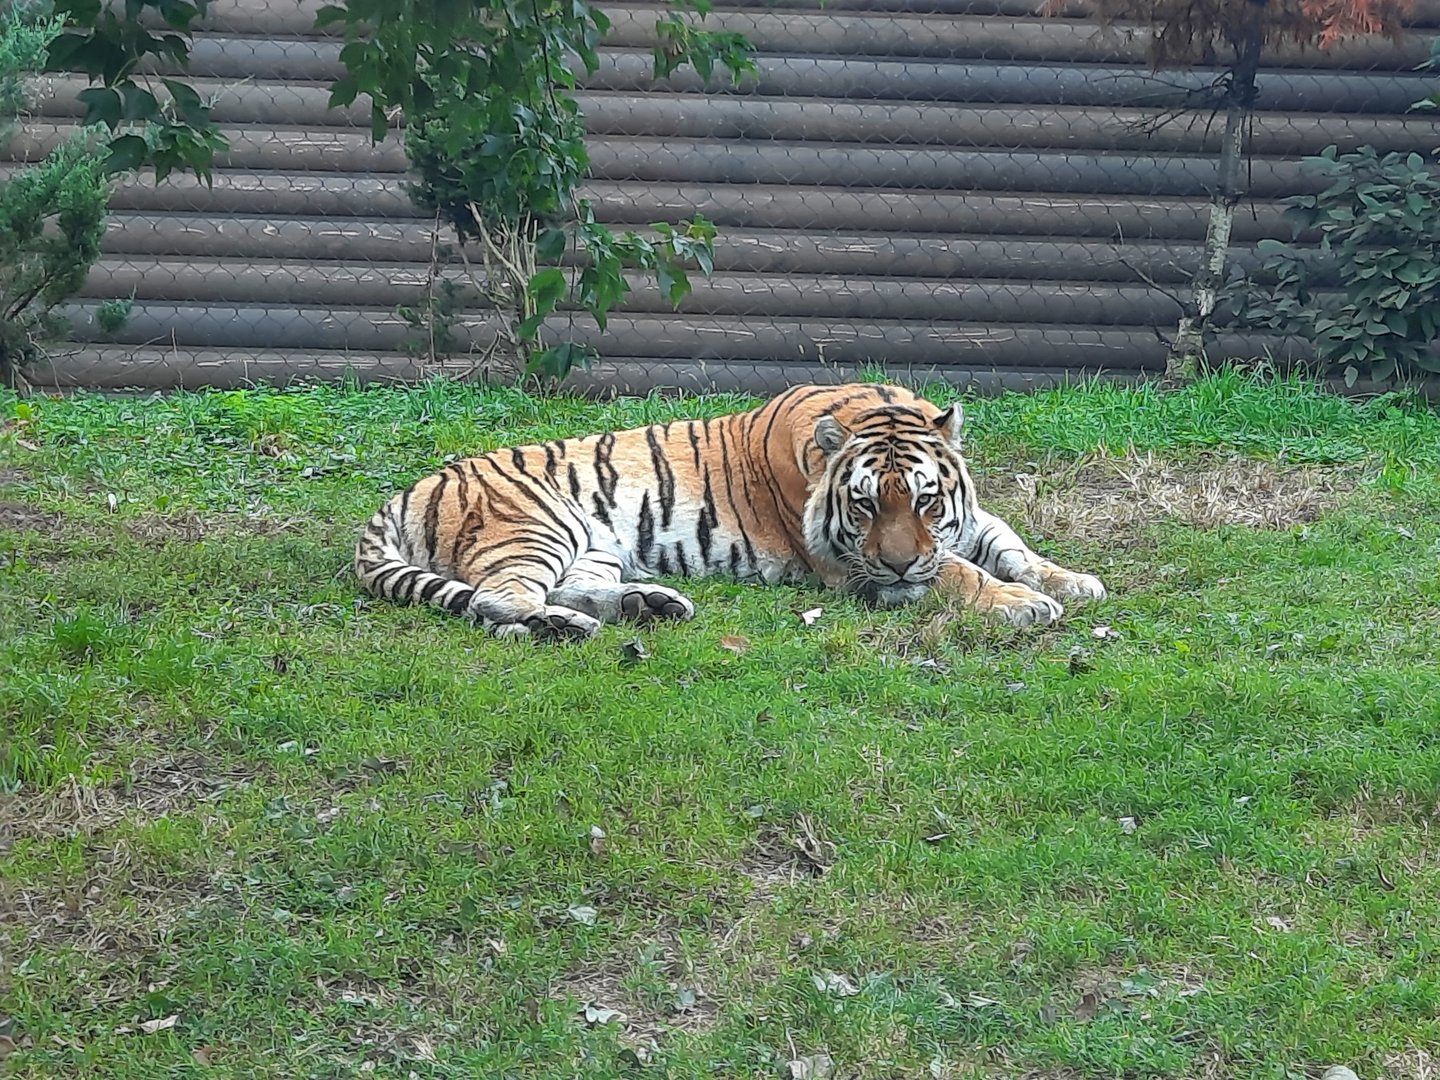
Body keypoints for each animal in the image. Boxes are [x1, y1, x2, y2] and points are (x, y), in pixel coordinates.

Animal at [354, 382, 1106, 638]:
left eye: (925, 499)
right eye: (863, 506)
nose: (896, 567)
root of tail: (404, 492)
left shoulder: (968, 522)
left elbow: (1011, 546)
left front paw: (1070, 582)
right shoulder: (850, 565)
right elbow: (955, 572)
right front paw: (1021, 605)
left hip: (591, 548)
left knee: (567, 590)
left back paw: (648, 606)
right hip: (536, 528)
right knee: (498, 601)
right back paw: (558, 629)